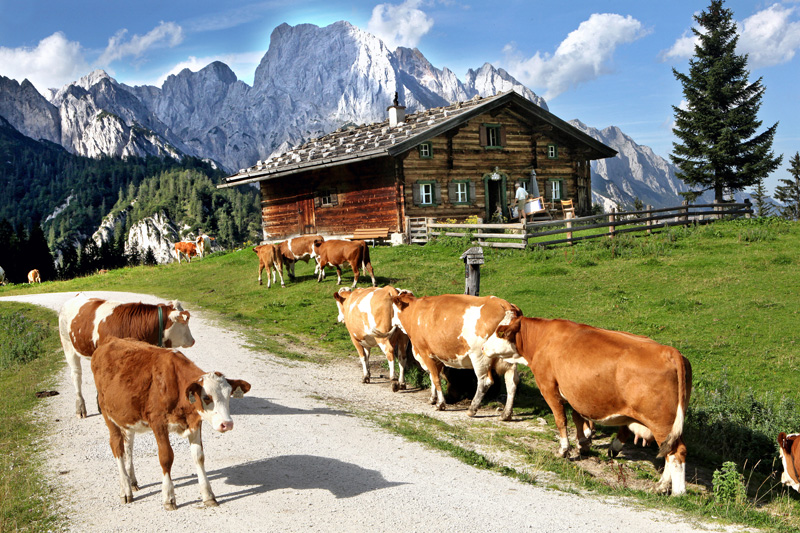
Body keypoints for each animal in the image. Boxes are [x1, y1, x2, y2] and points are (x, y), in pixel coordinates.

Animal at [90, 338, 248, 510]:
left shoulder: (195, 423)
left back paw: (132, 481)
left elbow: (199, 457)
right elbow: (166, 457)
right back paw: (125, 489)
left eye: (229, 395)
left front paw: (208, 495)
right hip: (107, 413)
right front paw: (168, 497)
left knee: (128, 445)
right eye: (207, 397)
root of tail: (111, 340)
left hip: (127, 415)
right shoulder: (158, 422)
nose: (227, 424)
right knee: (117, 445)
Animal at [390, 290, 520, 420]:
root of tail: (505, 305)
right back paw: (506, 414)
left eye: (393, 309)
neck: (415, 312)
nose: (391, 322)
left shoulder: (425, 353)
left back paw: (472, 409)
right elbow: (433, 376)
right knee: (512, 382)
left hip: (479, 356)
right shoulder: (437, 356)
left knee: (485, 381)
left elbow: (436, 378)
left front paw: (440, 404)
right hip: (509, 360)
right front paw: (433, 398)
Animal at [496, 316, 692, 494]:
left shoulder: (548, 387)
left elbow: (561, 420)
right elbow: (576, 417)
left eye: (500, 332)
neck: (543, 338)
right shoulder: (575, 391)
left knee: (677, 452)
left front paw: (563, 450)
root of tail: (669, 351)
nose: (487, 347)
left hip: (661, 421)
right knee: (668, 450)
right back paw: (660, 485)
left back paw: (677, 492)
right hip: (668, 425)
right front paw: (583, 444)